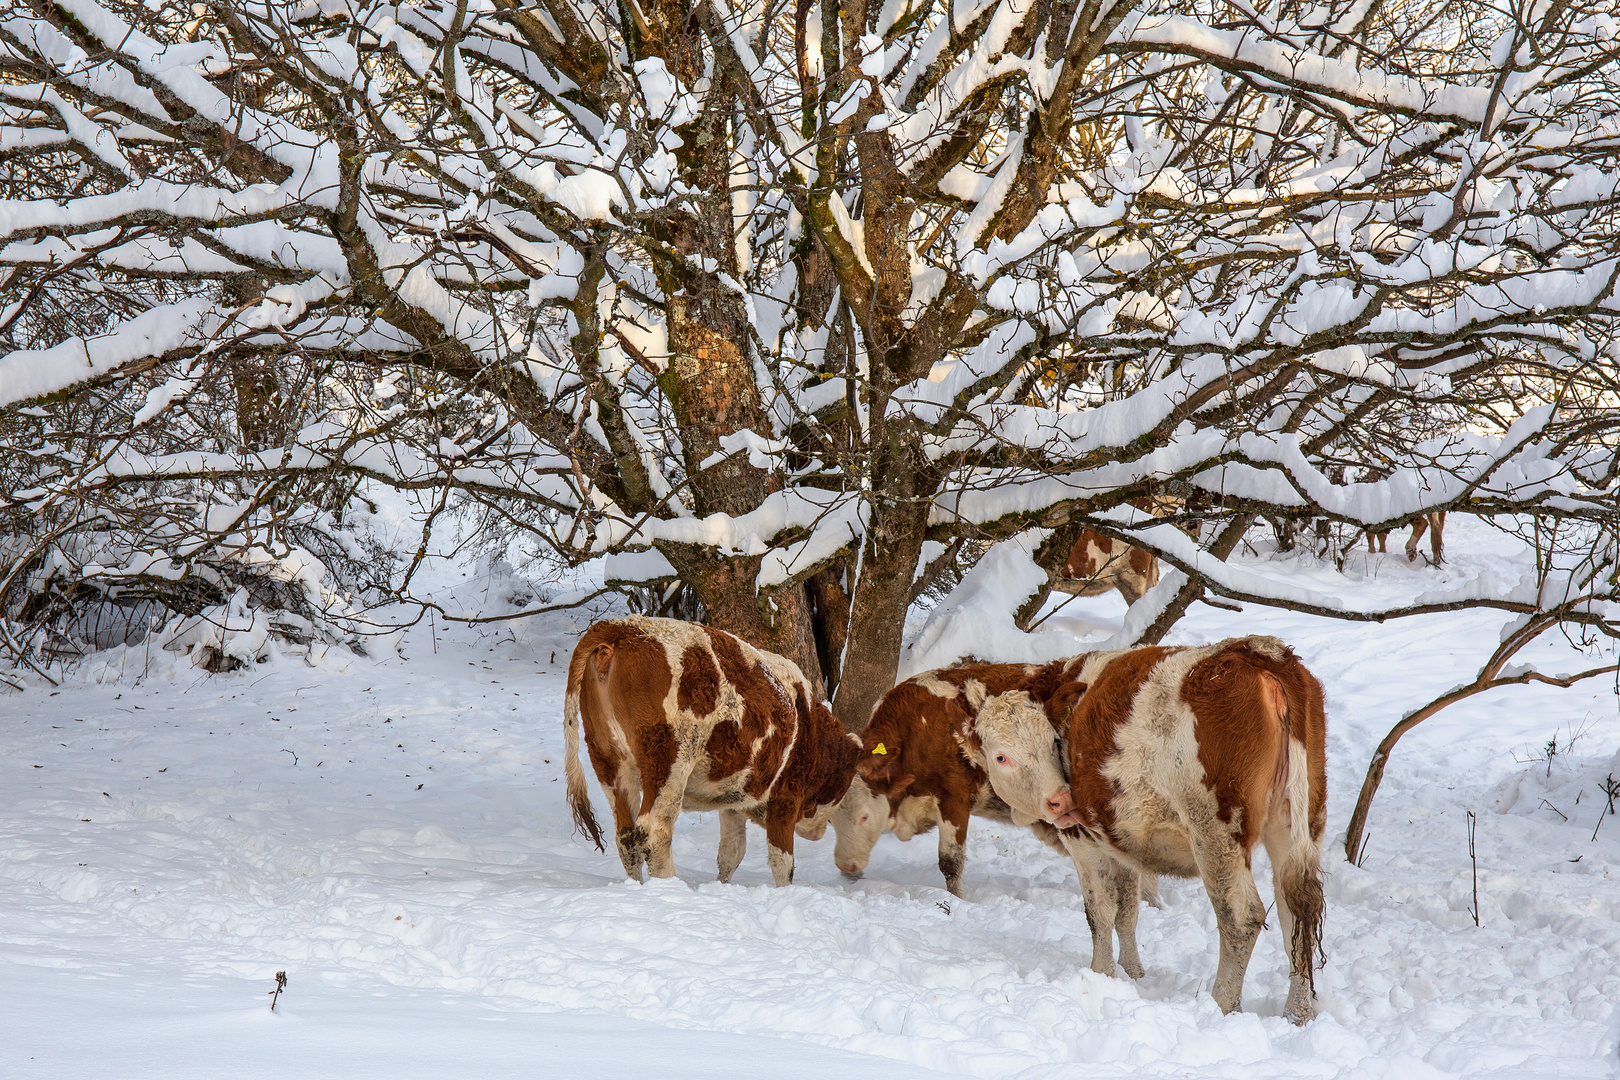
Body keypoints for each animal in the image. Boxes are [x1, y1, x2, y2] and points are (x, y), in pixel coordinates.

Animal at [560, 615, 861, 887]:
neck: (808, 723)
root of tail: (623, 627)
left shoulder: (734, 800)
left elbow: (731, 852)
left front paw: (722, 887)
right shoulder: (786, 796)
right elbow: (782, 862)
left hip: (609, 761)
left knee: (626, 836)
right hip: (669, 761)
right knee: (655, 832)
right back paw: (670, 887)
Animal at [959, 637, 1328, 1029]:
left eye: (1050, 744)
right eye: (1001, 757)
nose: (1060, 800)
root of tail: (1259, 653)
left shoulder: (1082, 836)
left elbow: (1100, 910)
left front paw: (1101, 974)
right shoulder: (1119, 839)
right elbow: (1127, 910)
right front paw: (1133, 974)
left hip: (1215, 830)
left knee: (1241, 917)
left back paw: (1220, 1005)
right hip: (1298, 821)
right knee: (1295, 915)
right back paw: (1297, 1013)